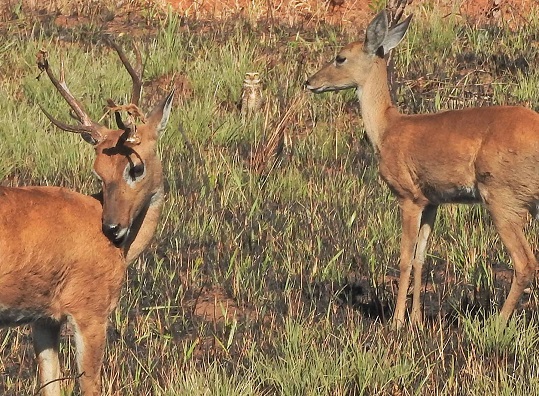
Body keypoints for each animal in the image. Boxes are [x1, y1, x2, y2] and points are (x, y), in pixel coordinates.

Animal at [0, 41, 173, 396]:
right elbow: (89, 385)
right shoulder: (90, 307)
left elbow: (51, 383)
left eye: (136, 167)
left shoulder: (44, 317)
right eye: (98, 172)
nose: (113, 227)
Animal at [306, 10, 539, 330]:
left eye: (340, 57)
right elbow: (421, 256)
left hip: (503, 197)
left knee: (525, 262)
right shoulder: (432, 200)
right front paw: (416, 319)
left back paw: (495, 325)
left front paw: (396, 322)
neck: (387, 129)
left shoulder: (409, 196)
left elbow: (404, 257)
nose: (309, 81)